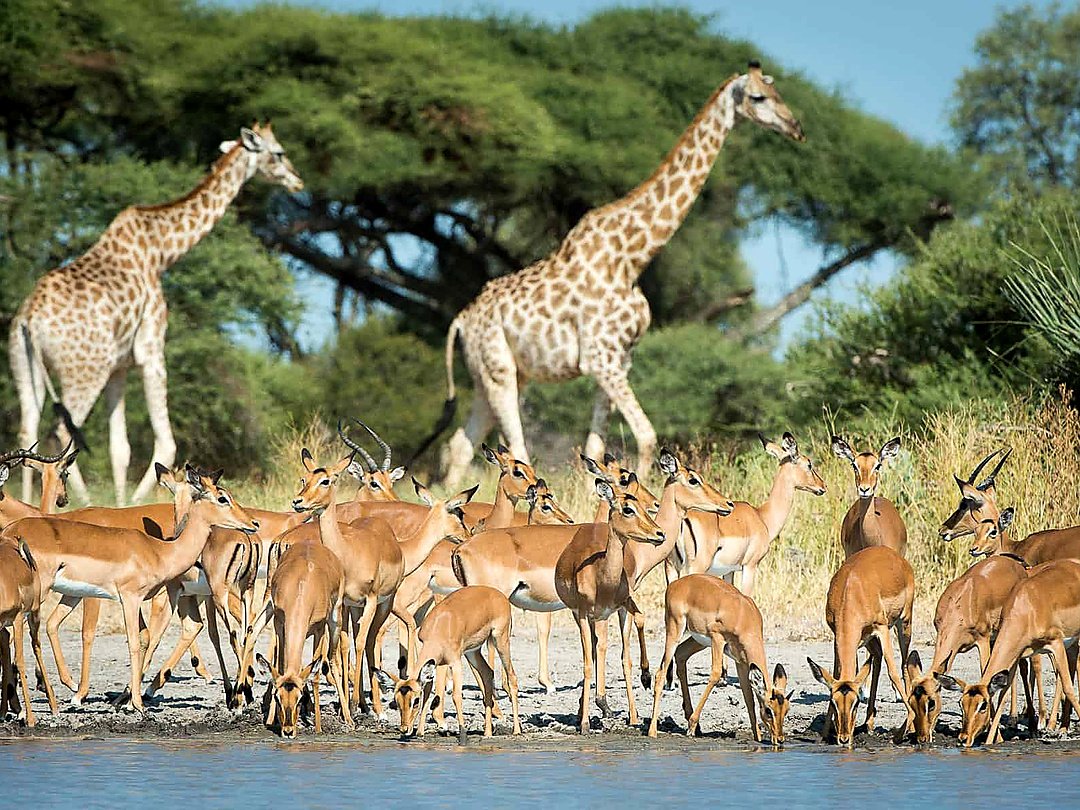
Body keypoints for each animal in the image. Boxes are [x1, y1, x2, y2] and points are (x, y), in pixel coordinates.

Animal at [10, 124, 303, 505]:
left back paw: (27, 502)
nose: (297, 181)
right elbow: (166, 443)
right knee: (63, 430)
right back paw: (78, 501)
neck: (162, 252)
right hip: (83, 371)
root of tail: (30, 317)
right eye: (279, 153)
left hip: (25, 363)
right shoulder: (151, 349)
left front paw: (120, 504)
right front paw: (140, 501)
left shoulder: (118, 367)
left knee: (27, 429)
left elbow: (119, 448)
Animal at [426, 63, 804, 485]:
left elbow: (595, 450)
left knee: (460, 446)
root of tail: (461, 320)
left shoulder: (618, 360)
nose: (796, 127)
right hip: (500, 371)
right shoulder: (600, 358)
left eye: (778, 93)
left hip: (491, 375)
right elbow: (646, 437)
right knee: (516, 450)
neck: (632, 258)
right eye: (758, 97)